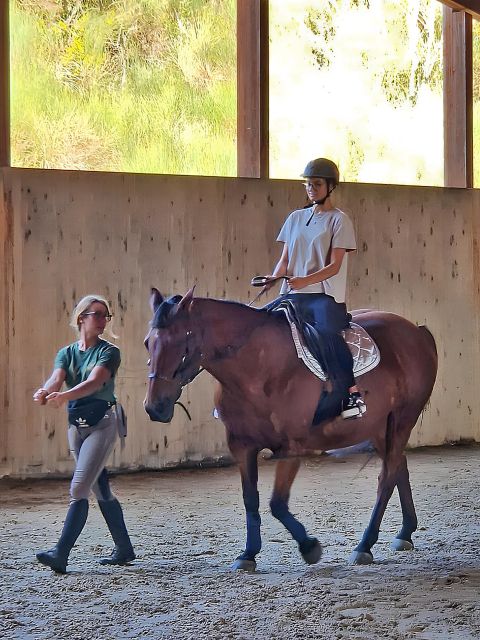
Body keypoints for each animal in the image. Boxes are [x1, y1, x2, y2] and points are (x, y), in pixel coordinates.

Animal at [144, 287, 437, 571]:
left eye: (180, 342)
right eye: (148, 342)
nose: (154, 407)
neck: (257, 368)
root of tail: (417, 331)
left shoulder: (291, 447)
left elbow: (277, 503)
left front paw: (309, 547)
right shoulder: (241, 446)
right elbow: (250, 499)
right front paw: (248, 554)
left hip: (402, 419)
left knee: (386, 478)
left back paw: (364, 546)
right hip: (379, 427)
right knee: (399, 467)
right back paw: (404, 533)